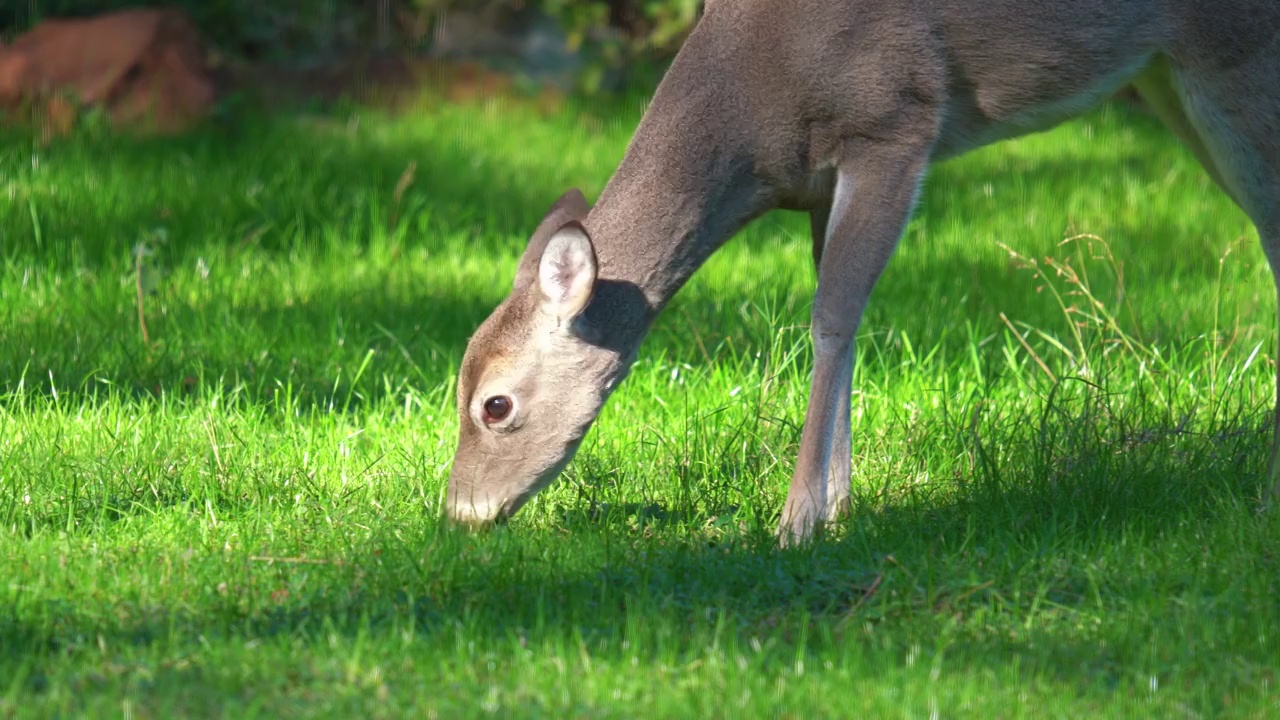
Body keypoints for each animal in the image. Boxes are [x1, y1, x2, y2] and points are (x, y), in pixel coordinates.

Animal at [445, 0, 1280, 538]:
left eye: (495, 405)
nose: (458, 513)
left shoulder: (892, 120)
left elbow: (833, 317)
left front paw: (797, 520)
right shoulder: (818, 181)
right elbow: (837, 318)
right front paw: (841, 503)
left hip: (1230, 51)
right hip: (1166, 73)